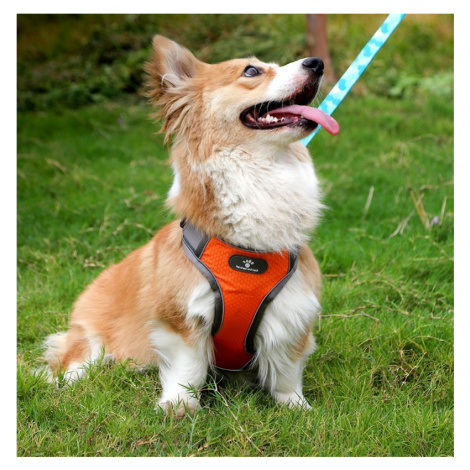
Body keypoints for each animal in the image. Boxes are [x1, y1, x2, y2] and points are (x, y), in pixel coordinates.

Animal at [40, 35, 339, 417]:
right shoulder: (182, 317)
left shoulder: (290, 314)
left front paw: (296, 407)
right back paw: (66, 382)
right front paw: (180, 406)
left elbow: (285, 371)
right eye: (252, 70)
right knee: (75, 358)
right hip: (90, 335)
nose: (316, 63)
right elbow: (188, 367)